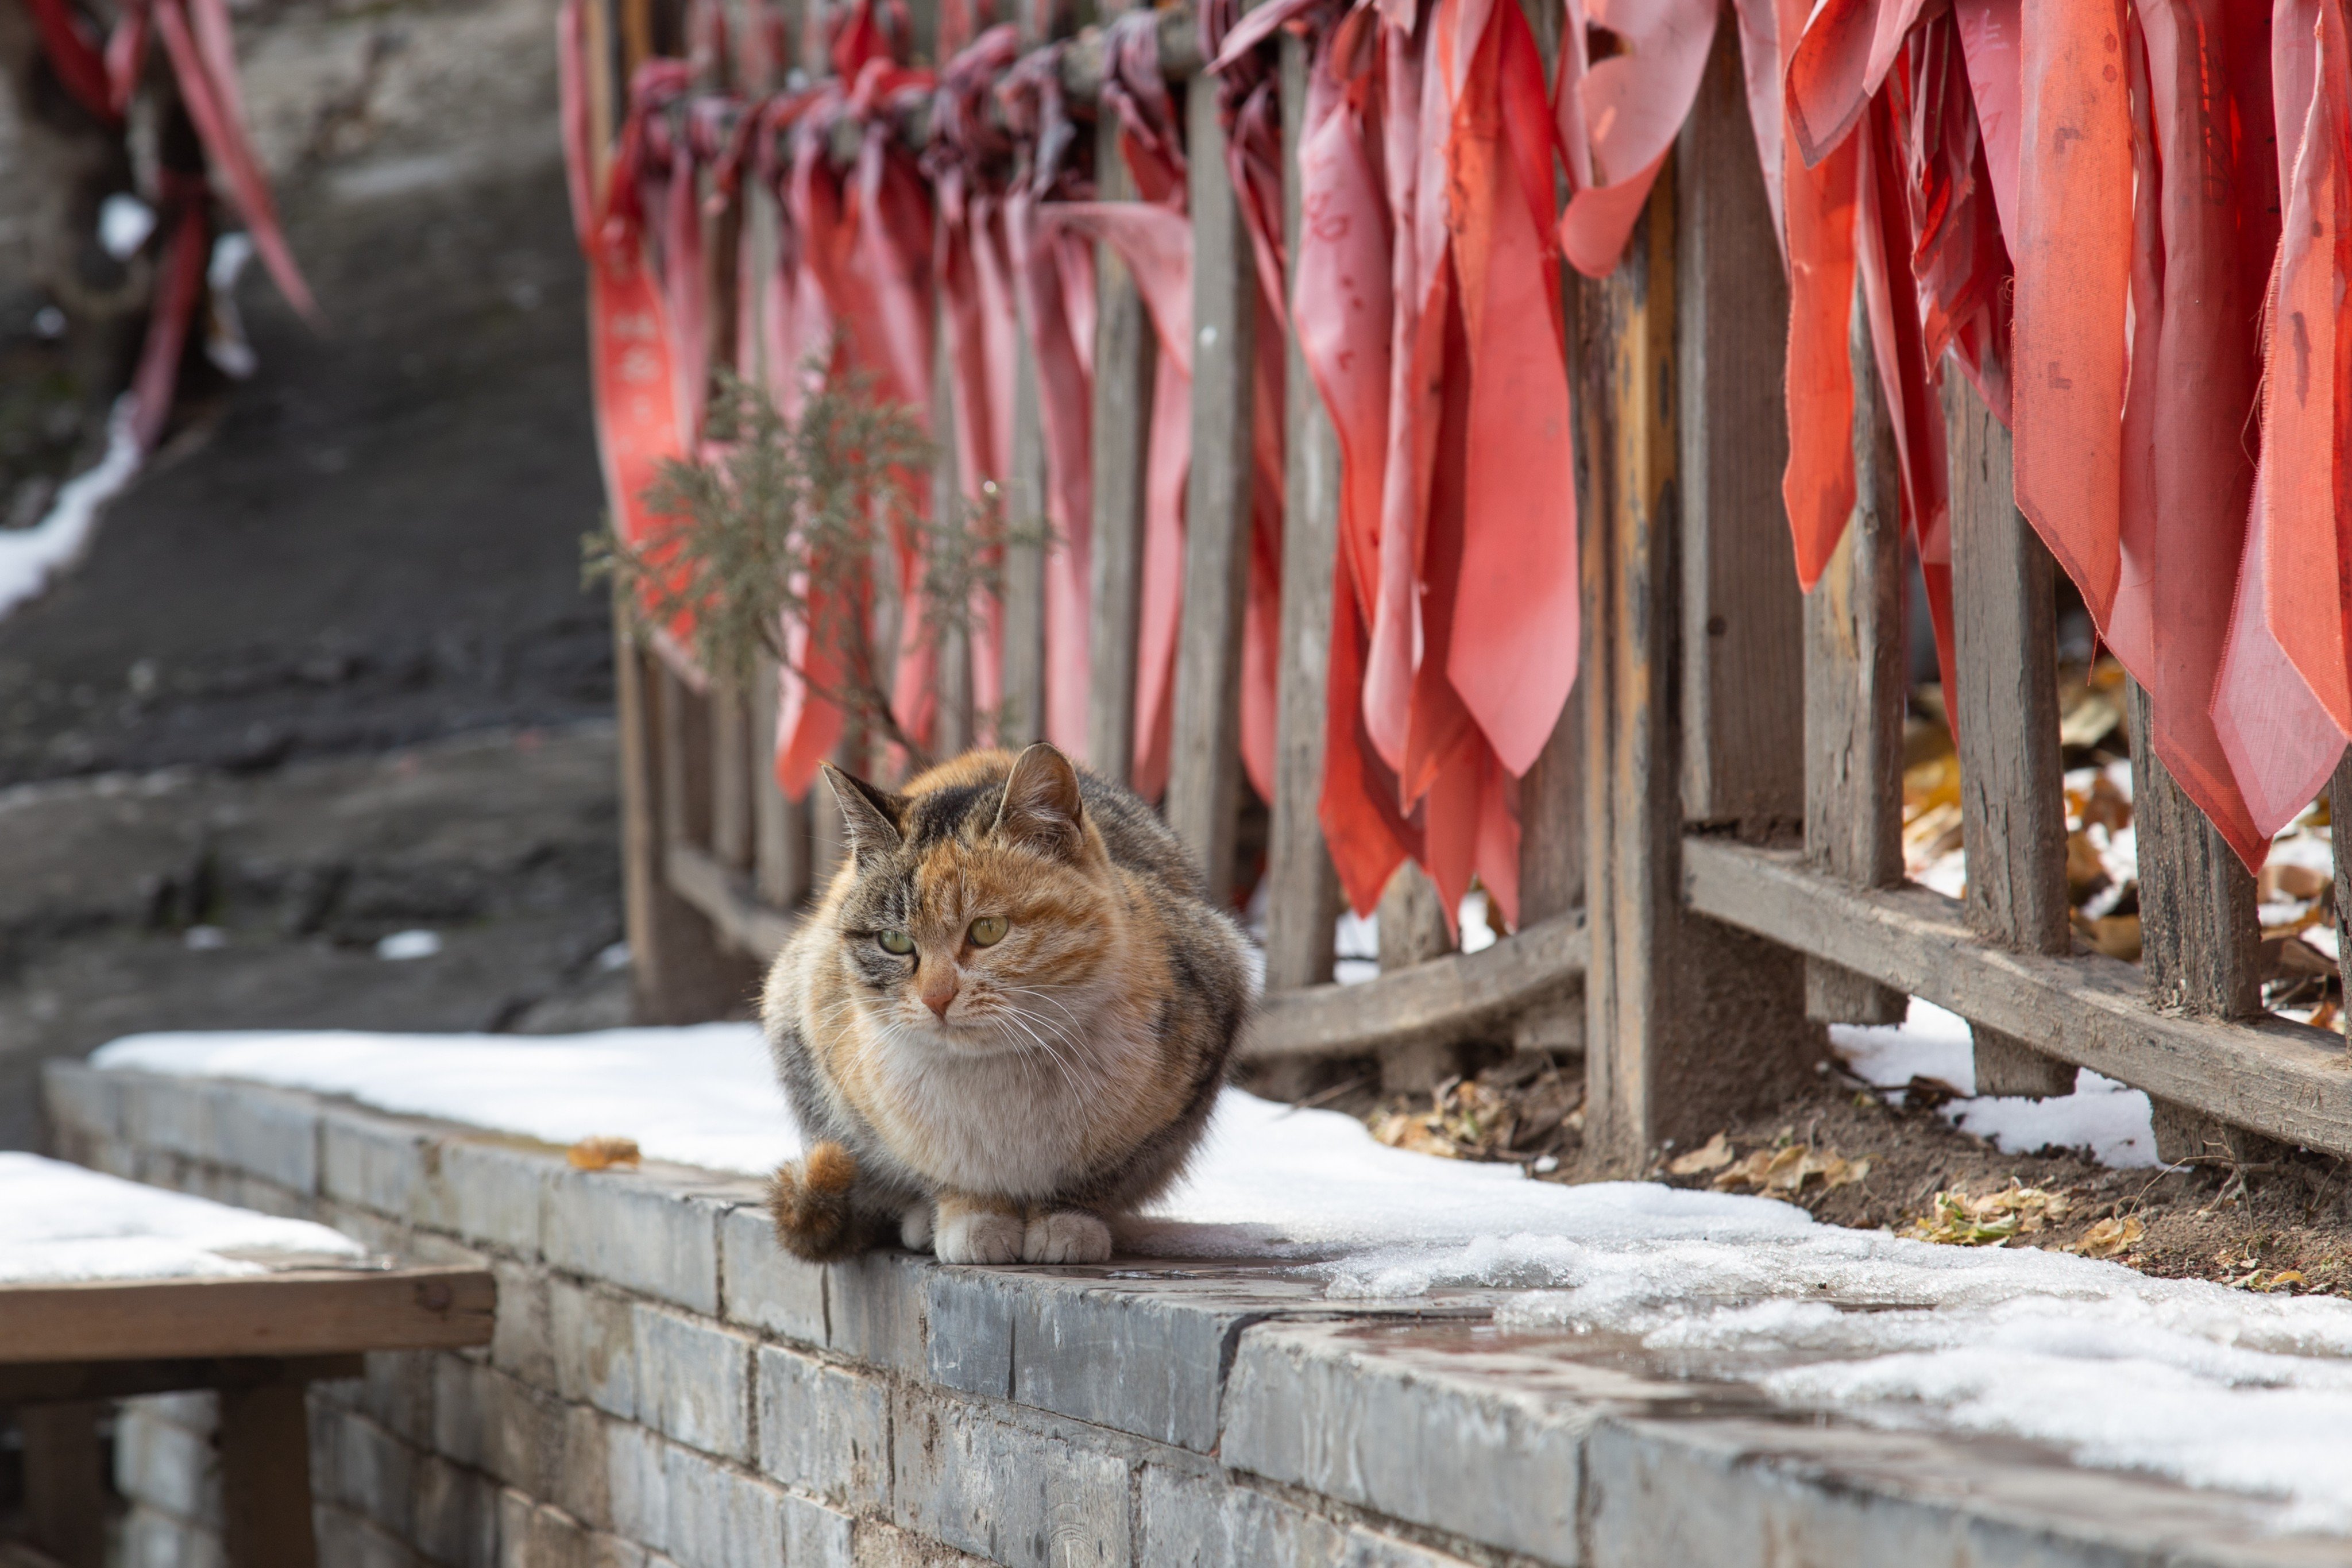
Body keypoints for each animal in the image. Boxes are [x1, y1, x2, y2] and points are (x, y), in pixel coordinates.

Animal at [762, 743, 1260, 1269]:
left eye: (988, 930)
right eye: (893, 941)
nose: (935, 997)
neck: (998, 1075)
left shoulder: (1180, 1086)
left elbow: (1099, 1173)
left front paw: (1067, 1224)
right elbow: (943, 1172)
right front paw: (972, 1219)